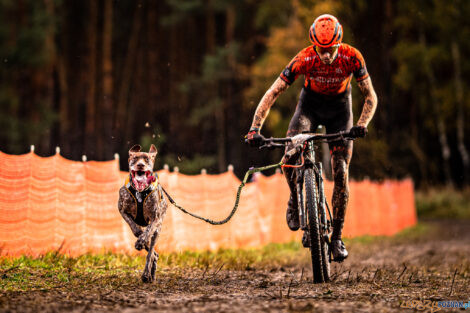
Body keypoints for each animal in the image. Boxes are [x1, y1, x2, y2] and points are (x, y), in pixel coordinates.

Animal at [118, 144, 168, 282]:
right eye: (135, 158)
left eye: (147, 159)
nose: (140, 165)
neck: (140, 192)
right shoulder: (122, 210)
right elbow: (134, 227)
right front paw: (139, 234)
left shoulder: (155, 218)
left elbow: (148, 232)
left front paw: (141, 240)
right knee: (154, 254)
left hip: (158, 230)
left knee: (151, 252)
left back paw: (147, 274)